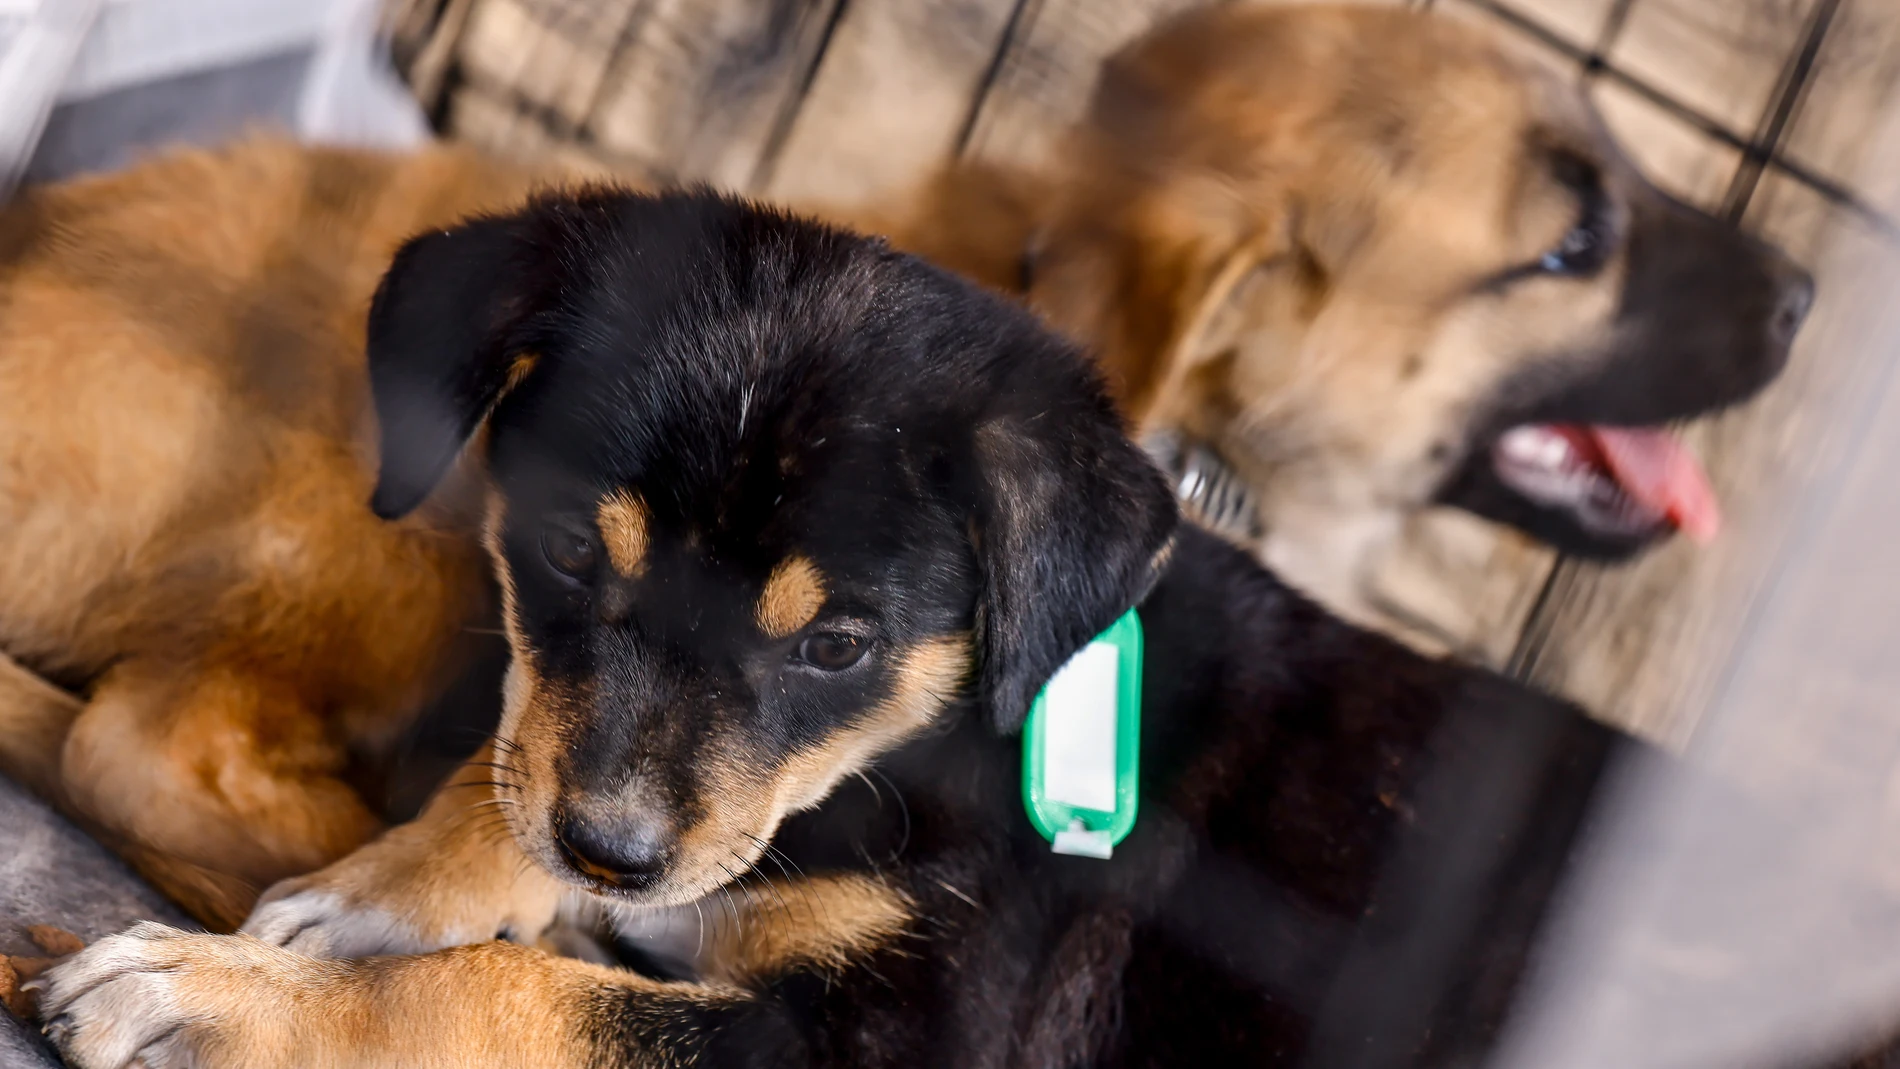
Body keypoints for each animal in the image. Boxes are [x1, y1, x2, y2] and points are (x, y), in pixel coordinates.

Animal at [37, 187, 1626, 1063]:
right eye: (565, 547)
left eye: (837, 645)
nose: (611, 854)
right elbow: (517, 771)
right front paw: (385, 887)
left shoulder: (904, 1035)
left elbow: (519, 996)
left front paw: (225, 1002)